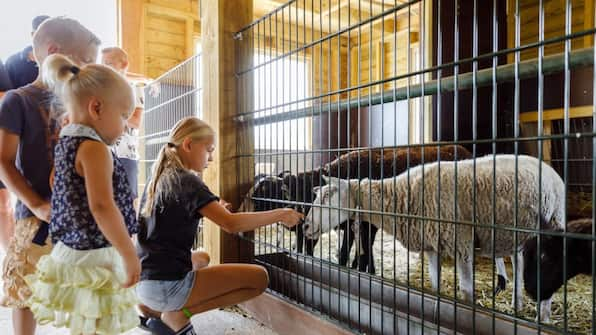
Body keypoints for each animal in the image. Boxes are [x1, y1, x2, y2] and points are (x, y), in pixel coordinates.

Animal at [304, 155, 564, 310]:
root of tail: (545, 165)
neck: (403, 195)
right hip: (516, 234)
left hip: (553, 223)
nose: (305, 226)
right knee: (518, 263)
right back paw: (517, 305)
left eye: (328, 197)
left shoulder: (462, 243)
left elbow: (466, 291)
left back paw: (542, 315)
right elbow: (436, 286)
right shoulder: (431, 246)